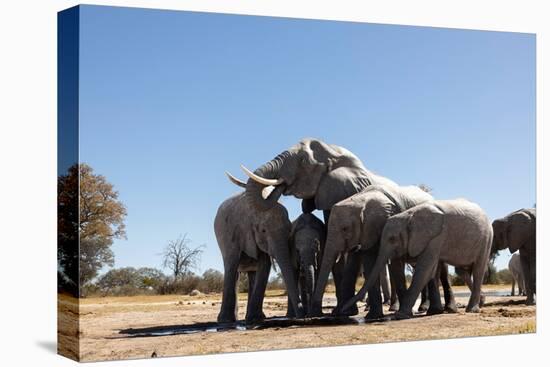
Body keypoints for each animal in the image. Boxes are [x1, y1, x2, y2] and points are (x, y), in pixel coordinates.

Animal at [215, 173, 304, 324]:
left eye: (289, 229)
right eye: (263, 230)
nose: (302, 313)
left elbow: (264, 265)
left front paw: (255, 318)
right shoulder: (233, 233)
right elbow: (232, 265)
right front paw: (225, 321)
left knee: (252, 275)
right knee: (235, 273)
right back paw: (232, 319)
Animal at [310, 184, 436, 320]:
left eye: (345, 229)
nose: (315, 314)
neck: (362, 199)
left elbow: (383, 262)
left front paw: (372, 316)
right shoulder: (364, 231)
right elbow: (354, 264)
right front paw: (346, 313)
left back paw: (422, 309)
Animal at [344, 198, 496, 320]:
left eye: (392, 239)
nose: (342, 309)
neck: (409, 216)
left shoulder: (436, 236)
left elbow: (424, 270)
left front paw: (400, 315)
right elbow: (429, 271)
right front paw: (432, 312)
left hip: (487, 238)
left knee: (478, 270)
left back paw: (472, 310)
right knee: (462, 270)